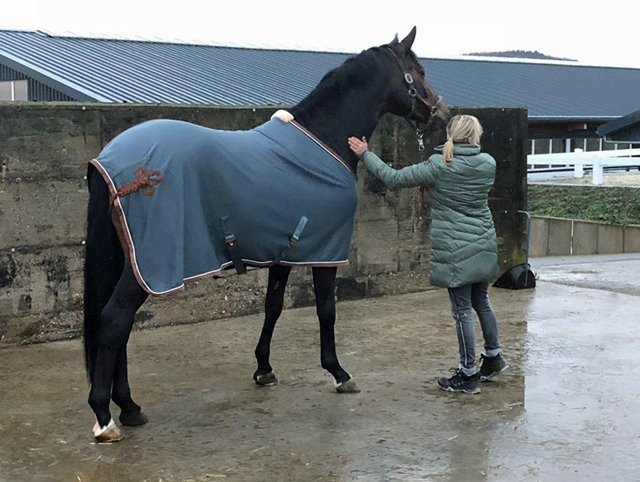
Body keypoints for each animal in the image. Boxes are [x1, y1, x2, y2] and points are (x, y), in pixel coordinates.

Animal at [82, 25, 448, 440]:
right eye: (418, 71)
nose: (441, 113)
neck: (325, 139)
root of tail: (110, 161)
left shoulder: (285, 251)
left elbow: (273, 307)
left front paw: (264, 369)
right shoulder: (326, 252)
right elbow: (327, 309)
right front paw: (338, 372)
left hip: (126, 258)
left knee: (119, 326)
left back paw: (129, 406)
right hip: (148, 266)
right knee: (115, 320)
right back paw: (105, 418)